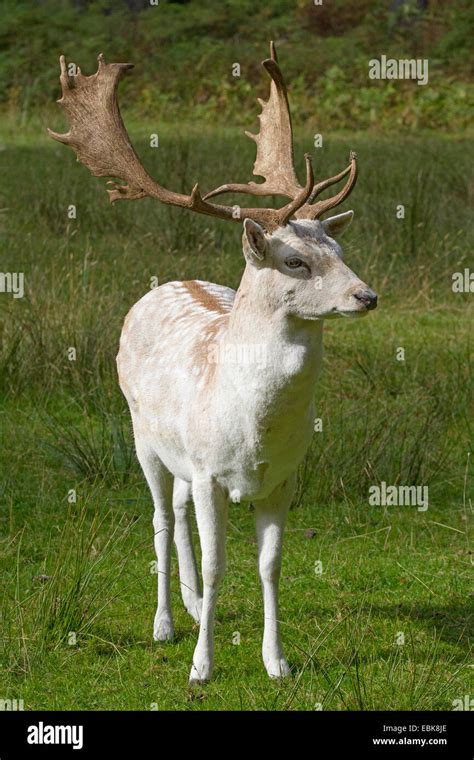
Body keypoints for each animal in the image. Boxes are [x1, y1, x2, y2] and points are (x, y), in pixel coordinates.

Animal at [49, 40, 378, 684]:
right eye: (295, 260)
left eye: (339, 248)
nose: (366, 296)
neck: (252, 428)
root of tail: (169, 281)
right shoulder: (208, 472)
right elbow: (220, 560)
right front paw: (202, 666)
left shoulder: (283, 477)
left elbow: (271, 565)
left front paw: (276, 661)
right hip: (142, 437)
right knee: (160, 517)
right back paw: (165, 623)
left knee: (176, 516)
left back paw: (193, 602)